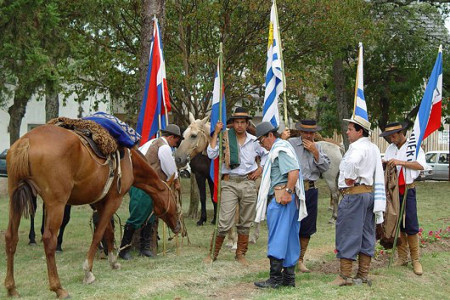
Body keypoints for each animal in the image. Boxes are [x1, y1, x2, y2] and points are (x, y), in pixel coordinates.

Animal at [4, 124, 181, 298]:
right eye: (174, 197)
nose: (178, 226)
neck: (130, 163)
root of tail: (26, 141)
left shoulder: (100, 203)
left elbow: (108, 231)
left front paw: (113, 261)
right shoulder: (114, 200)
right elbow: (99, 233)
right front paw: (88, 271)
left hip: (15, 200)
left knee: (11, 237)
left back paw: (11, 288)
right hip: (56, 204)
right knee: (49, 239)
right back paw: (58, 288)